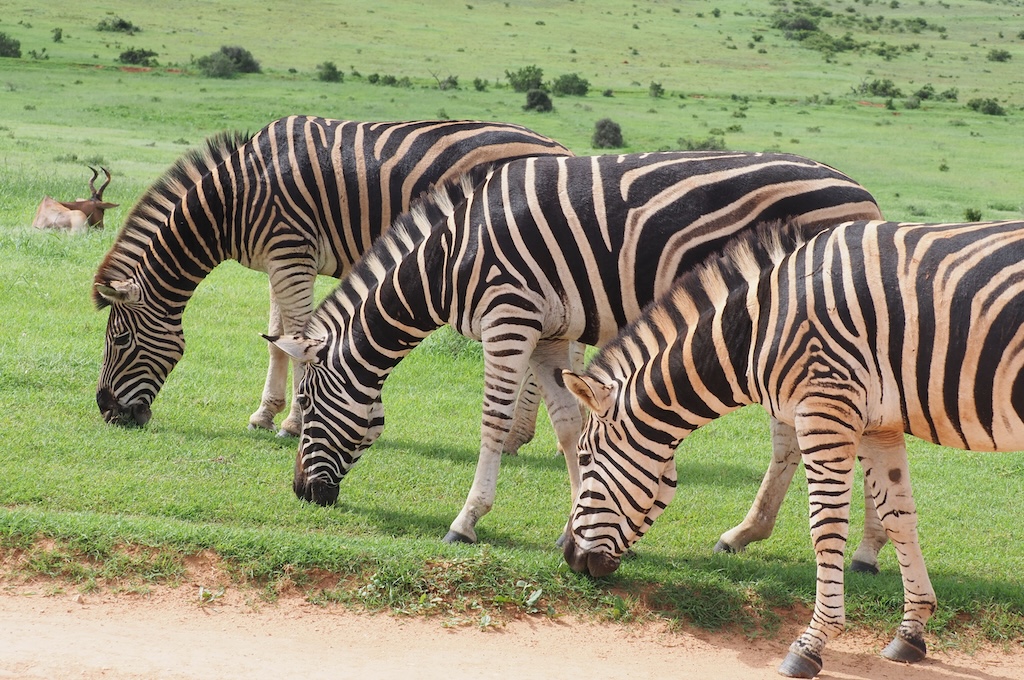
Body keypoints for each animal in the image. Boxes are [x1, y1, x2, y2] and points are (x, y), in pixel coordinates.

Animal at [92, 115, 572, 443]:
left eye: (119, 340)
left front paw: (293, 423)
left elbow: (298, 337)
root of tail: (560, 148)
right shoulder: (279, 258)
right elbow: (277, 339)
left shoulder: (290, 252)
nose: (107, 411)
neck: (233, 200)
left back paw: (516, 437)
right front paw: (265, 415)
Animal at [267, 151, 882, 545]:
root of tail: (864, 195)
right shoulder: (549, 333)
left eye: (307, 407)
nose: (301, 494)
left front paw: (466, 521)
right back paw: (752, 534)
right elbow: (568, 425)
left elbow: (493, 421)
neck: (449, 256)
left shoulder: (508, 315)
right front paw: (572, 521)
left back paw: (860, 552)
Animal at [561, 219, 1024, 678]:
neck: (756, 332)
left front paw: (811, 643)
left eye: (584, 458)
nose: (568, 556)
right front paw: (911, 632)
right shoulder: (880, 426)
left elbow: (825, 527)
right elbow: (900, 520)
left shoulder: (825, 410)